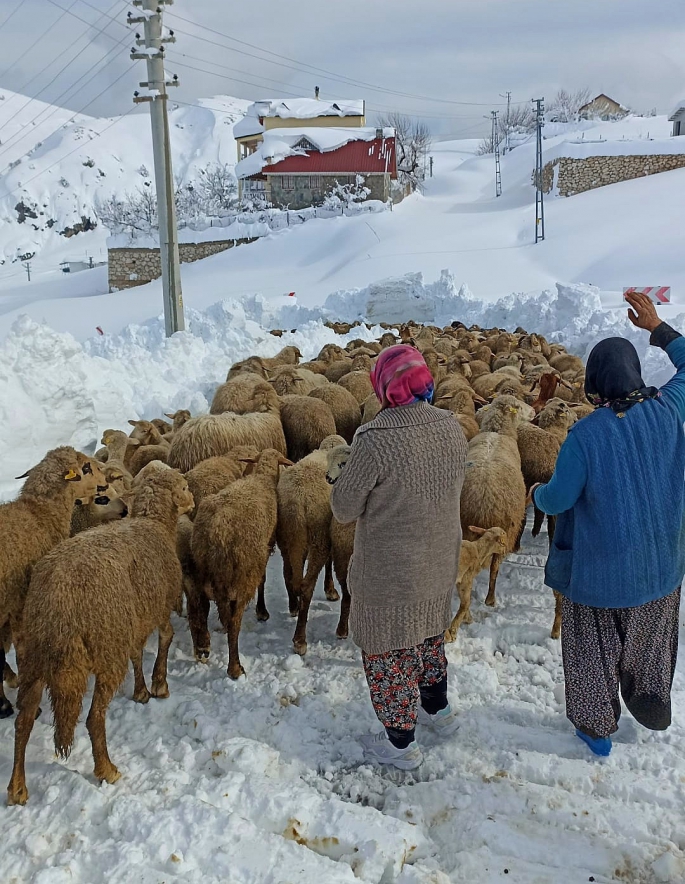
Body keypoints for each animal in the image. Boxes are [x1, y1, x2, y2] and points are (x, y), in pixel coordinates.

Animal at [7, 474, 195, 804]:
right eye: (183, 487)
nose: (194, 500)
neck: (154, 523)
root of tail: (59, 598)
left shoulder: (130, 624)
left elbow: (137, 652)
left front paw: (141, 691)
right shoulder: (158, 608)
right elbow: (166, 639)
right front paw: (159, 685)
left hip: (35, 654)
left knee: (24, 718)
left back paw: (17, 787)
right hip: (104, 651)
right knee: (94, 718)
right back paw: (107, 769)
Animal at [190, 448, 292, 676]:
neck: (262, 478)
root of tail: (216, 532)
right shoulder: (264, 549)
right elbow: (262, 580)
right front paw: (262, 611)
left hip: (201, 571)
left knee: (199, 608)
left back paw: (202, 647)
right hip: (242, 575)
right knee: (234, 624)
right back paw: (234, 667)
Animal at [274, 436, 344, 656]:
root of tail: (297, 501)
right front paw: (331, 591)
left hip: (287, 537)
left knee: (289, 575)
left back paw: (293, 607)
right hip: (317, 537)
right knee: (306, 586)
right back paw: (300, 640)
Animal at [460, 398, 528, 612]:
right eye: (519, 406)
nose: (533, 412)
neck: (498, 432)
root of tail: (483, 504)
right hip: (505, 531)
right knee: (495, 569)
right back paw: (490, 599)